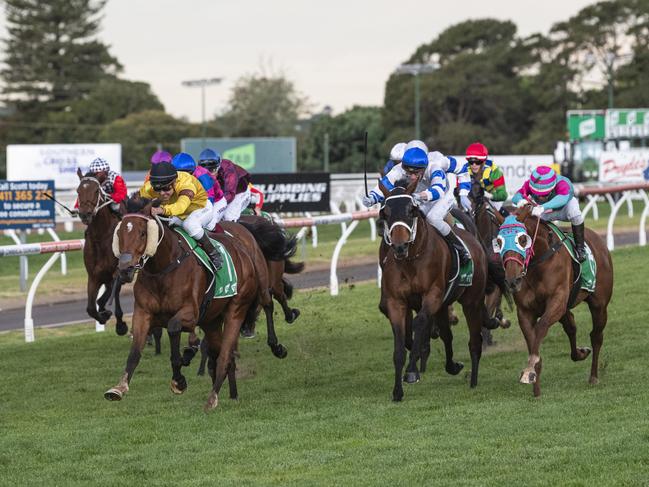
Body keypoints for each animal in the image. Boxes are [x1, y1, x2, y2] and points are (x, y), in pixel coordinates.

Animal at [76, 169, 128, 336]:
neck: (101, 237)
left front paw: (120, 324)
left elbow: (111, 295)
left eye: (96, 191)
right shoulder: (93, 276)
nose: (85, 214)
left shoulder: (116, 273)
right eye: (78, 191)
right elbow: (91, 307)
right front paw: (103, 315)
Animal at [105, 198, 288, 412]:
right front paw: (118, 388)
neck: (163, 269)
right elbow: (134, 352)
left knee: (229, 350)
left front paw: (179, 379)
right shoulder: (143, 313)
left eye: (143, 233)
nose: (125, 270)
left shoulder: (191, 314)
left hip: (239, 306)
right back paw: (232, 394)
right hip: (212, 321)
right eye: (119, 233)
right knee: (223, 356)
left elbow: (173, 328)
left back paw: (214, 397)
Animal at [378, 181, 488, 402]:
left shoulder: (433, 295)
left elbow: (419, 323)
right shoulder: (396, 302)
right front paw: (397, 391)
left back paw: (473, 380)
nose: (400, 246)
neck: (411, 261)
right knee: (447, 335)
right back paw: (452, 366)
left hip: (472, 302)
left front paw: (412, 371)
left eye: (411, 210)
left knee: (475, 341)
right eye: (385, 213)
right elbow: (399, 346)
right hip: (444, 306)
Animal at [496, 204, 612, 398]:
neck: (538, 263)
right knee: (571, 326)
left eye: (522, 239)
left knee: (596, 336)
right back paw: (580, 353)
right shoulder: (525, 311)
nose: (512, 281)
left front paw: (530, 371)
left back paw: (594, 376)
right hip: (567, 308)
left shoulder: (556, 302)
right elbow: (532, 339)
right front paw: (535, 385)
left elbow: (541, 327)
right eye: (498, 242)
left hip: (599, 305)